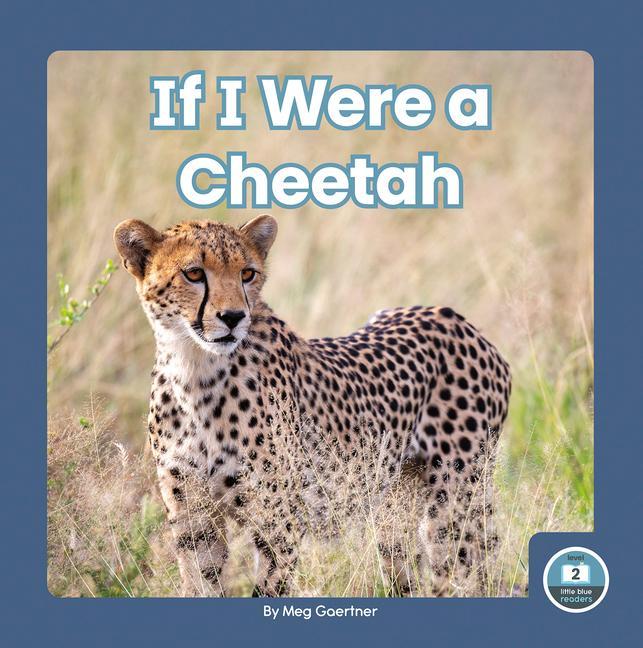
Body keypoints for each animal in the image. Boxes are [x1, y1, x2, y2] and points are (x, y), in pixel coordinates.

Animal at [114, 214, 511, 597]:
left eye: (247, 274)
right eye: (194, 273)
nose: (233, 317)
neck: (195, 369)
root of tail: (456, 320)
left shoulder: (280, 523)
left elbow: (269, 589)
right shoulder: (194, 521)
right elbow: (201, 583)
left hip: (454, 508)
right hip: (394, 512)